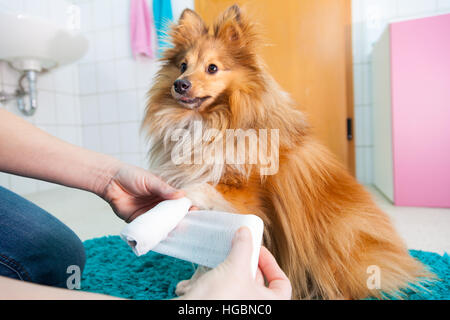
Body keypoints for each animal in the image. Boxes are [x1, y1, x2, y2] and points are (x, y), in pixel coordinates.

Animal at [142, 5, 430, 300]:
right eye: (183, 66)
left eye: (212, 68)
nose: (180, 84)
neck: (211, 123)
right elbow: (206, 255)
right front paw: (194, 283)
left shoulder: (245, 197)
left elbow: (203, 190)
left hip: (338, 235)